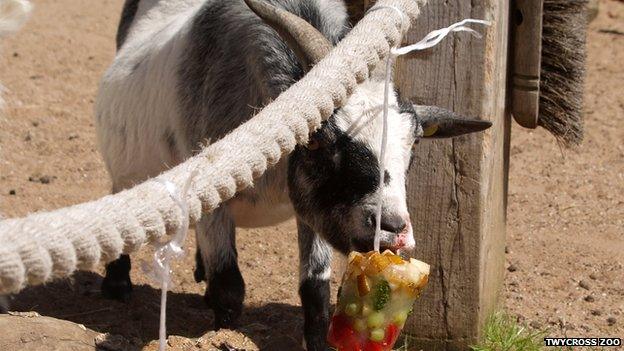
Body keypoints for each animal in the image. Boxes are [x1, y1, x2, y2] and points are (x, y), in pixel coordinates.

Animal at [94, 1, 492, 350]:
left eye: (414, 144)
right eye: (316, 140)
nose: (391, 229)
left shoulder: (311, 209)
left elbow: (315, 289)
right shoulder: (213, 199)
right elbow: (229, 287)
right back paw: (117, 282)